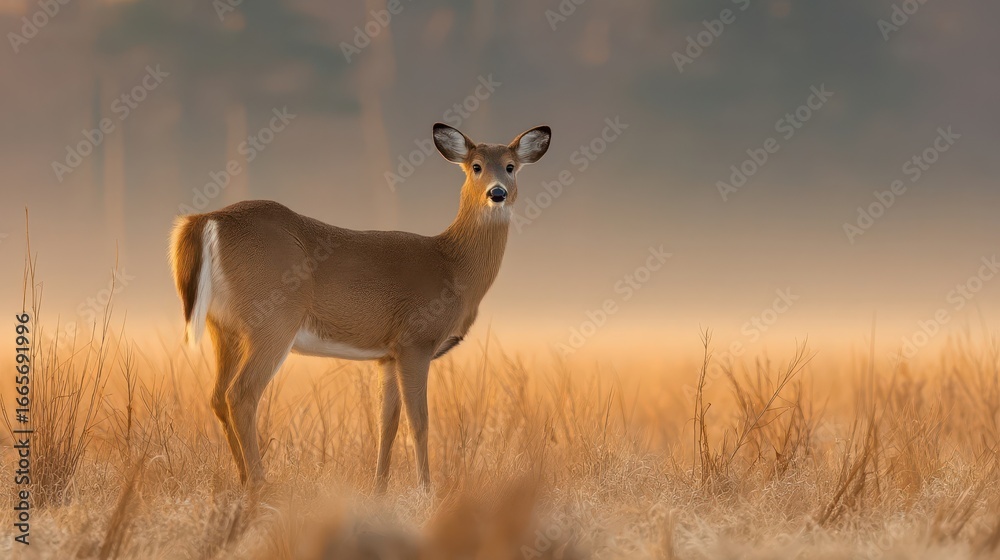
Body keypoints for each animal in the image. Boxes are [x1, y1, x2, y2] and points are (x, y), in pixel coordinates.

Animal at [169, 123, 551, 491]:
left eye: (511, 166)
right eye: (476, 166)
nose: (497, 193)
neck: (453, 266)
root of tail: (207, 220)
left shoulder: (388, 354)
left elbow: (387, 423)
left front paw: (379, 489)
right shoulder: (415, 340)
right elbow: (419, 422)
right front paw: (426, 490)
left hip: (224, 327)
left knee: (217, 396)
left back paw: (244, 479)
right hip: (273, 320)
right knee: (241, 395)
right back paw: (262, 484)